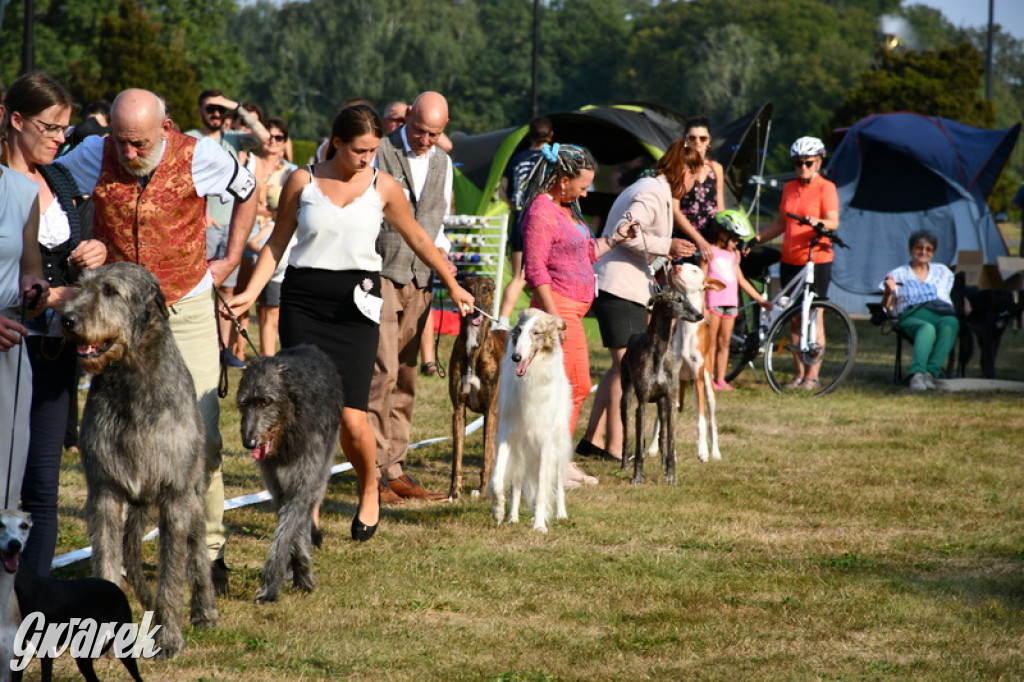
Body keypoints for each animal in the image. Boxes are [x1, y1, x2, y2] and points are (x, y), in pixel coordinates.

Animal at [60, 260, 218, 655]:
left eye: (111, 291)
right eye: (81, 286)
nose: (67, 319)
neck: (131, 380)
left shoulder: (174, 498)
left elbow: (173, 573)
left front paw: (170, 637)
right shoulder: (105, 492)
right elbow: (106, 559)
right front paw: (102, 637)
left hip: (192, 496)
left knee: (198, 554)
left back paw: (204, 610)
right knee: (130, 553)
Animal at [234, 342, 342, 602]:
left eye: (265, 401)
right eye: (245, 402)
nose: (249, 443)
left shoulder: (304, 479)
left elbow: (288, 530)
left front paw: (272, 585)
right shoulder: (277, 485)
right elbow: (292, 530)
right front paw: (297, 574)